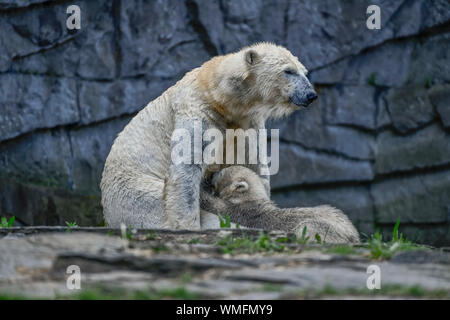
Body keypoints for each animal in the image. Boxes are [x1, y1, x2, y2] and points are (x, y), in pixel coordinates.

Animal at [101, 43, 316, 230]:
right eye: (288, 71)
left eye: (304, 72)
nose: (311, 94)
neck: (217, 95)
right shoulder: (197, 109)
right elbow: (186, 165)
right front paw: (187, 225)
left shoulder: (247, 121)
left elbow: (252, 159)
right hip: (136, 194)